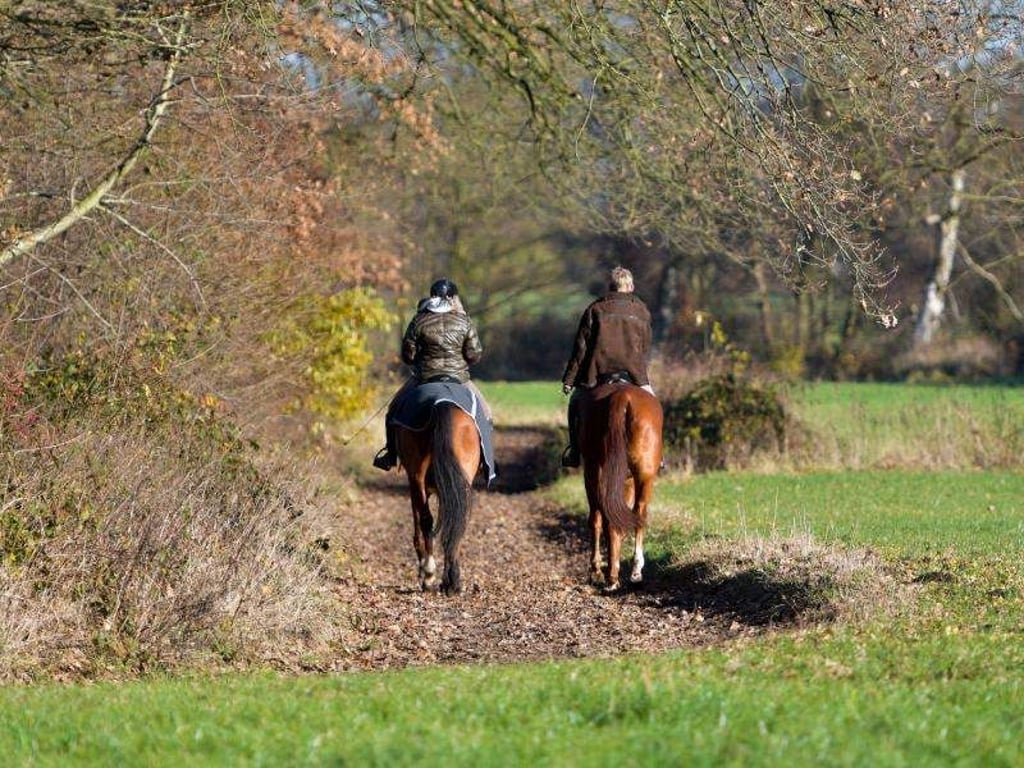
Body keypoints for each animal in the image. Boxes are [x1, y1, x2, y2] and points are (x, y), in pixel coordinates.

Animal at [396, 401, 482, 595]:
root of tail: (442, 405)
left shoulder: (416, 483)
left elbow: (418, 522)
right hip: (460, 480)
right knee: (458, 522)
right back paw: (451, 583)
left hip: (417, 478)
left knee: (426, 520)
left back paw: (429, 574)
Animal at [577, 381, 663, 591]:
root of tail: (622, 396)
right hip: (643, 474)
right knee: (639, 513)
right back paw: (634, 570)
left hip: (595, 472)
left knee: (601, 517)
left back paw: (607, 574)